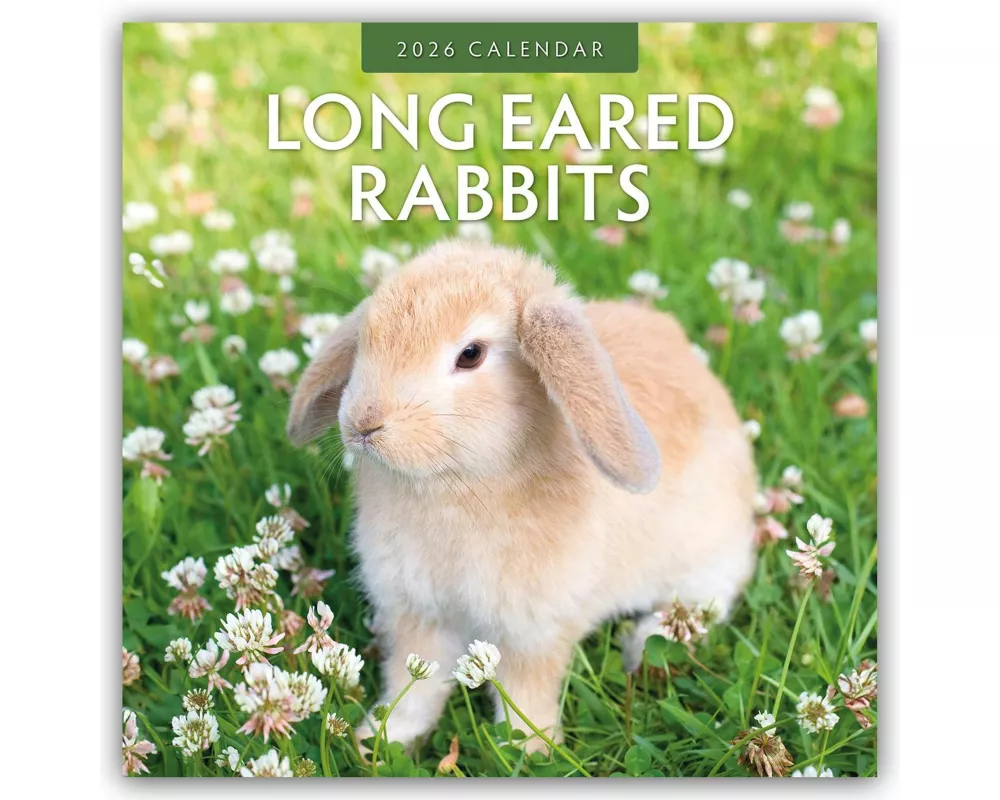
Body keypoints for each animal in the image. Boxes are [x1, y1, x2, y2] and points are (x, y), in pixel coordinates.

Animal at [286, 240, 757, 754]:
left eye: (471, 354)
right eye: (366, 337)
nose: (364, 422)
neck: (455, 485)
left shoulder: (534, 631)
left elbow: (525, 695)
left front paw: (534, 750)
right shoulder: (418, 615)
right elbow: (414, 684)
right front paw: (383, 739)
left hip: (704, 562)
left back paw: (644, 646)